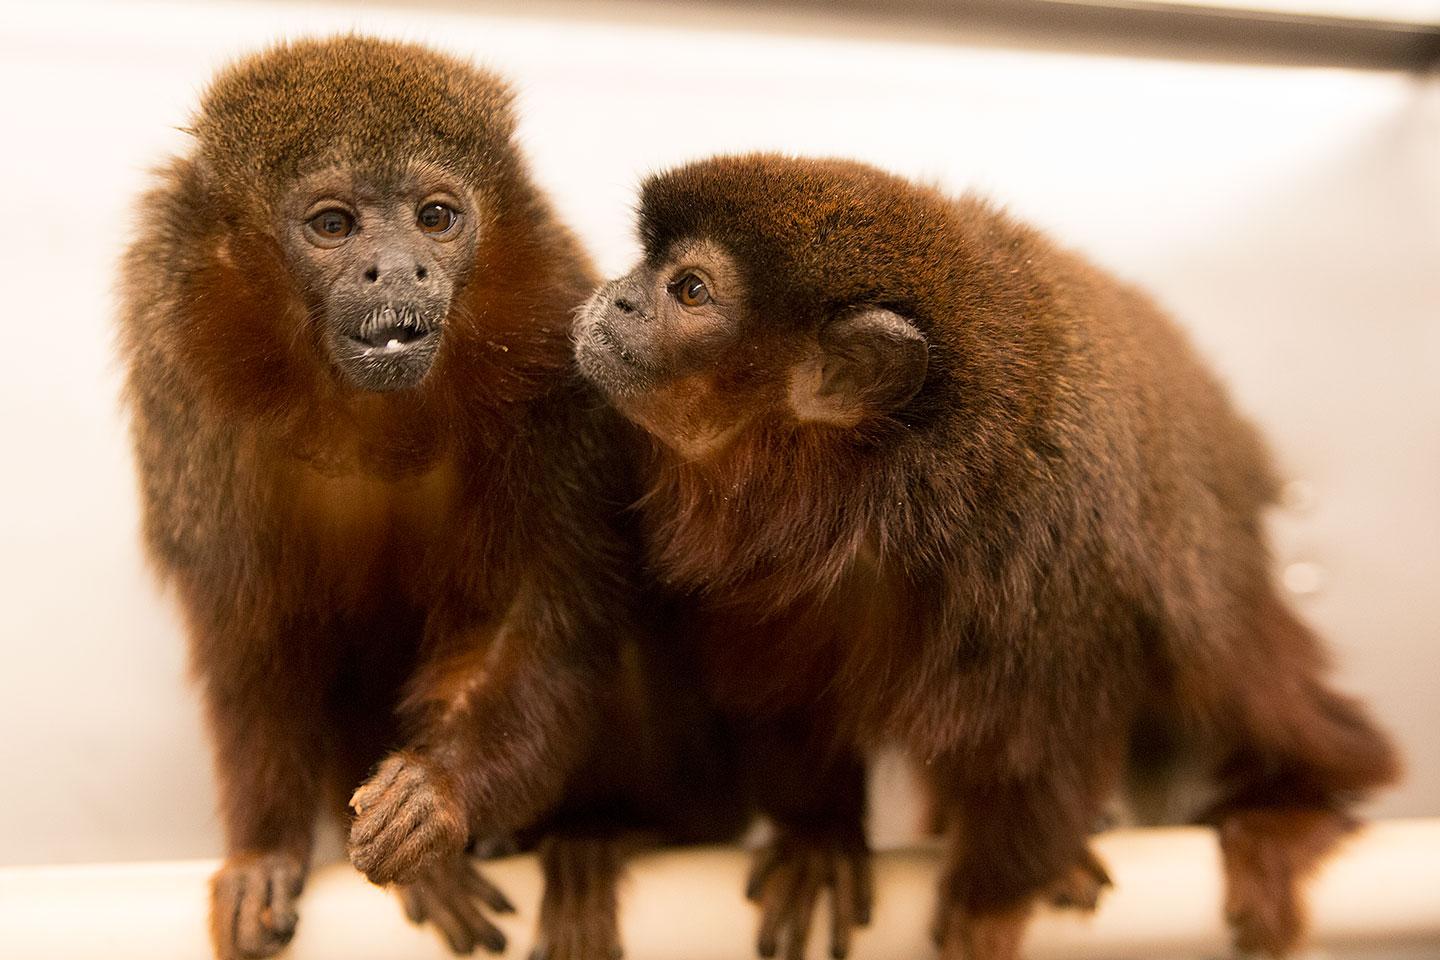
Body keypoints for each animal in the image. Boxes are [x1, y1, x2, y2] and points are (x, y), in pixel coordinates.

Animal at [118, 37, 743, 960]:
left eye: (437, 218)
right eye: (334, 226)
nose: (400, 269)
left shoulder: (552, 355)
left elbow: (536, 620)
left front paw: (436, 800)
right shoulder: (187, 387)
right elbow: (255, 632)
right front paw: (266, 852)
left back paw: (615, 833)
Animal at [573, 157, 1393, 960]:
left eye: (689, 289)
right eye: (645, 266)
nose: (618, 297)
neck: (873, 492)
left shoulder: (1049, 550)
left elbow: (1040, 748)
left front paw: (991, 898)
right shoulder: (760, 573)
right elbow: (783, 704)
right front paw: (819, 839)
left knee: (1230, 665)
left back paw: (1294, 812)